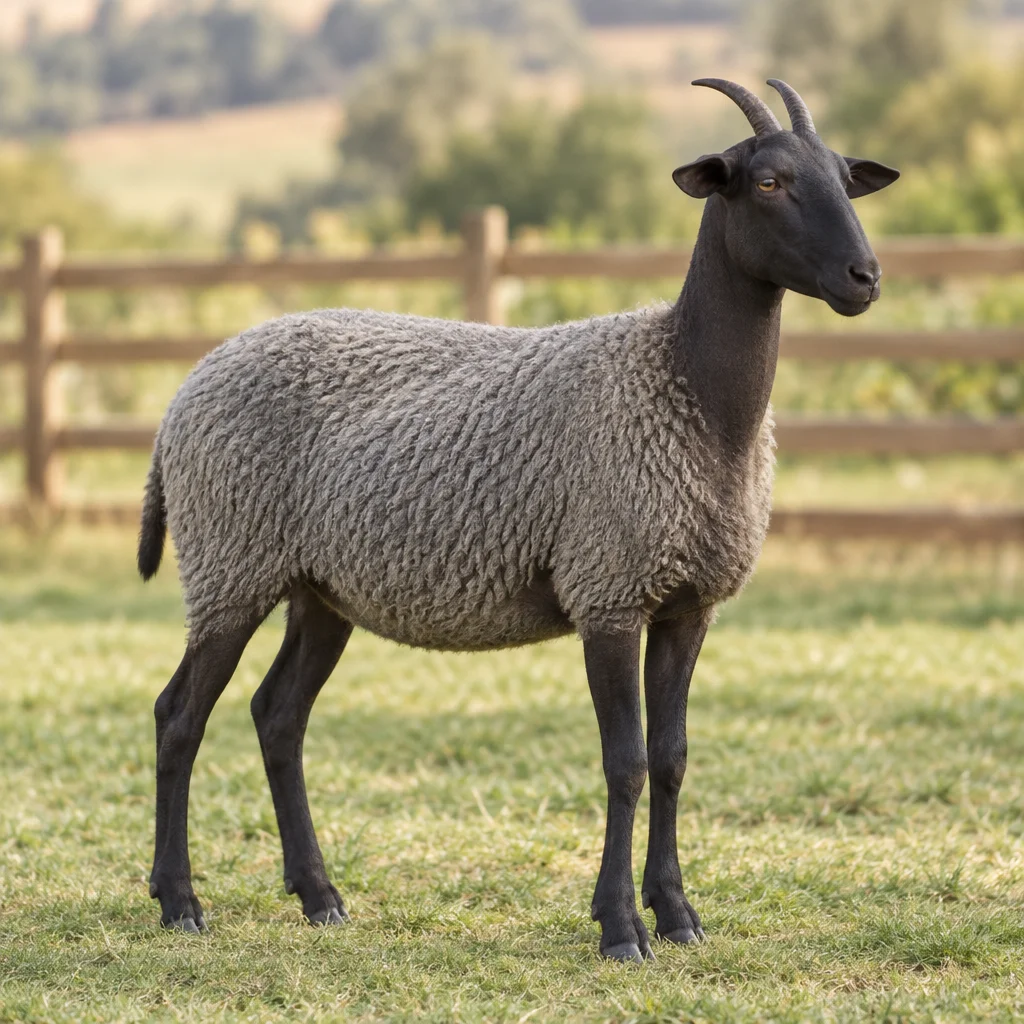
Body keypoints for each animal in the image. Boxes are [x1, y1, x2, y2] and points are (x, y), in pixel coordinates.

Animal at [139, 79, 899, 962]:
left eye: (845, 178)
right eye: (770, 182)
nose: (865, 277)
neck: (690, 390)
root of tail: (185, 391)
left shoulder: (687, 602)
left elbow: (672, 759)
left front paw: (678, 916)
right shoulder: (608, 589)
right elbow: (625, 762)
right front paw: (620, 929)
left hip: (318, 587)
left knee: (277, 715)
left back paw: (320, 896)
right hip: (230, 560)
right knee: (180, 716)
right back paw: (179, 901)